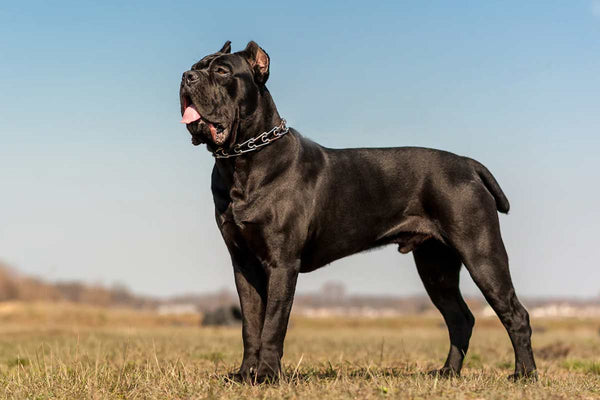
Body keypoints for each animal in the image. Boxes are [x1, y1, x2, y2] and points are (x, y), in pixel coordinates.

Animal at [179, 42, 540, 382]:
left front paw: (267, 375)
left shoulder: (282, 262)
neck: (242, 160)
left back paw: (524, 374)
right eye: (196, 65)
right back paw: (448, 372)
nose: (187, 76)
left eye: (222, 71)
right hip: (436, 266)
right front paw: (245, 375)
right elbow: (250, 325)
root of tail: (467, 164)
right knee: (459, 318)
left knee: (515, 314)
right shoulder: (244, 264)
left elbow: (273, 324)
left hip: (481, 253)